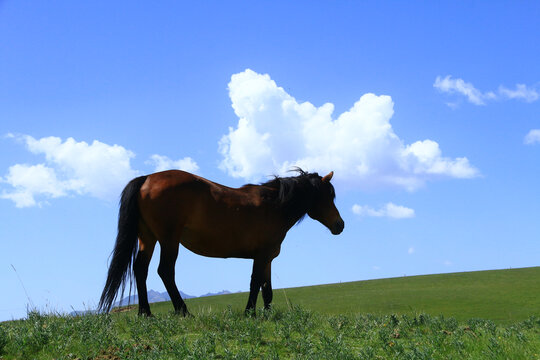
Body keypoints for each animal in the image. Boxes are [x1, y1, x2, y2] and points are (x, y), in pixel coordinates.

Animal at [97, 168, 344, 316]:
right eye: (327, 196)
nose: (339, 225)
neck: (274, 205)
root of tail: (147, 178)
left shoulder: (268, 258)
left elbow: (267, 289)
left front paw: (267, 314)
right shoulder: (261, 255)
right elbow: (255, 283)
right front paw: (249, 313)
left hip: (147, 238)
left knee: (141, 269)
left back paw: (146, 313)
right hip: (169, 240)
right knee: (165, 271)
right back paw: (183, 311)